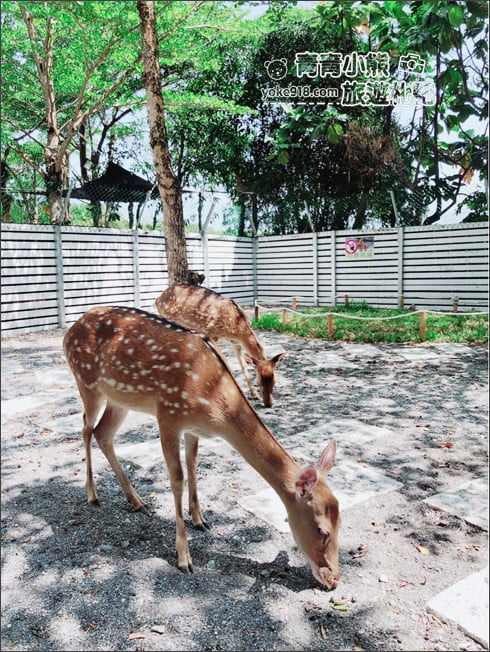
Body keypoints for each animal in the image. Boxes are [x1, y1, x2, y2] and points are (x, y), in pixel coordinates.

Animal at [63, 306, 340, 589]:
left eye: (341, 522)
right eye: (322, 530)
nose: (333, 579)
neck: (215, 408)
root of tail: (71, 328)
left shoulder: (193, 428)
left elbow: (193, 464)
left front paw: (200, 519)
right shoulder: (169, 415)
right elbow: (177, 478)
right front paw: (184, 558)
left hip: (119, 399)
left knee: (103, 433)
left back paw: (137, 502)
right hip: (87, 383)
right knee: (86, 428)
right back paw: (93, 494)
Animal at [155, 284, 285, 408]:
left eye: (274, 381)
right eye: (259, 382)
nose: (268, 404)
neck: (237, 329)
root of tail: (157, 299)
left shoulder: (236, 344)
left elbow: (243, 366)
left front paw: (254, 395)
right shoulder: (212, 333)